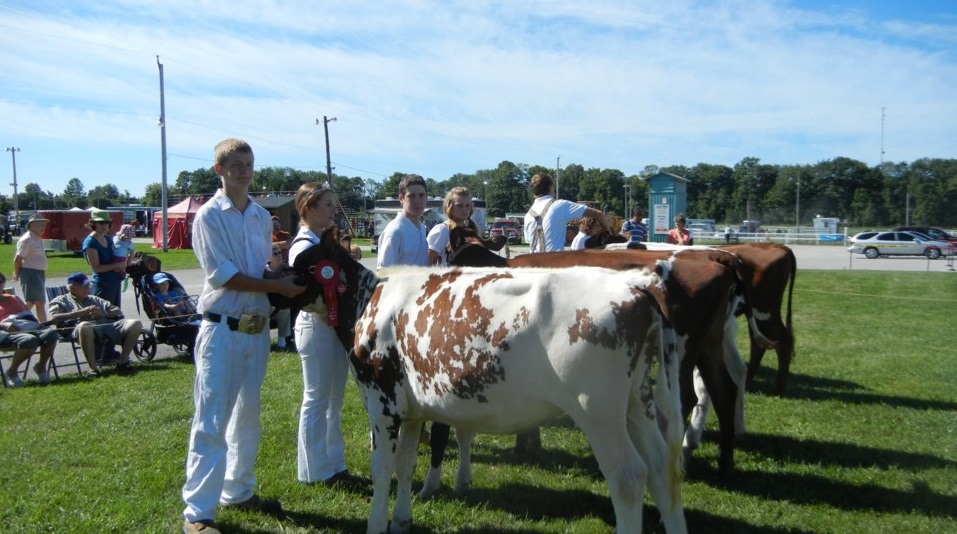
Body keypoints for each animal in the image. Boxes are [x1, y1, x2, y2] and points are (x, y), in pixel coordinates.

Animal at [296, 229, 688, 534]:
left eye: (303, 265)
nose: (280, 281)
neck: (368, 300)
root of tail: (636, 286)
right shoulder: (412, 410)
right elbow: (406, 466)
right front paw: (402, 521)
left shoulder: (382, 402)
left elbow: (382, 470)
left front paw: (377, 524)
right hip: (637, 400)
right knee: (660, 470)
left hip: (597, 409)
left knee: (628, 477)